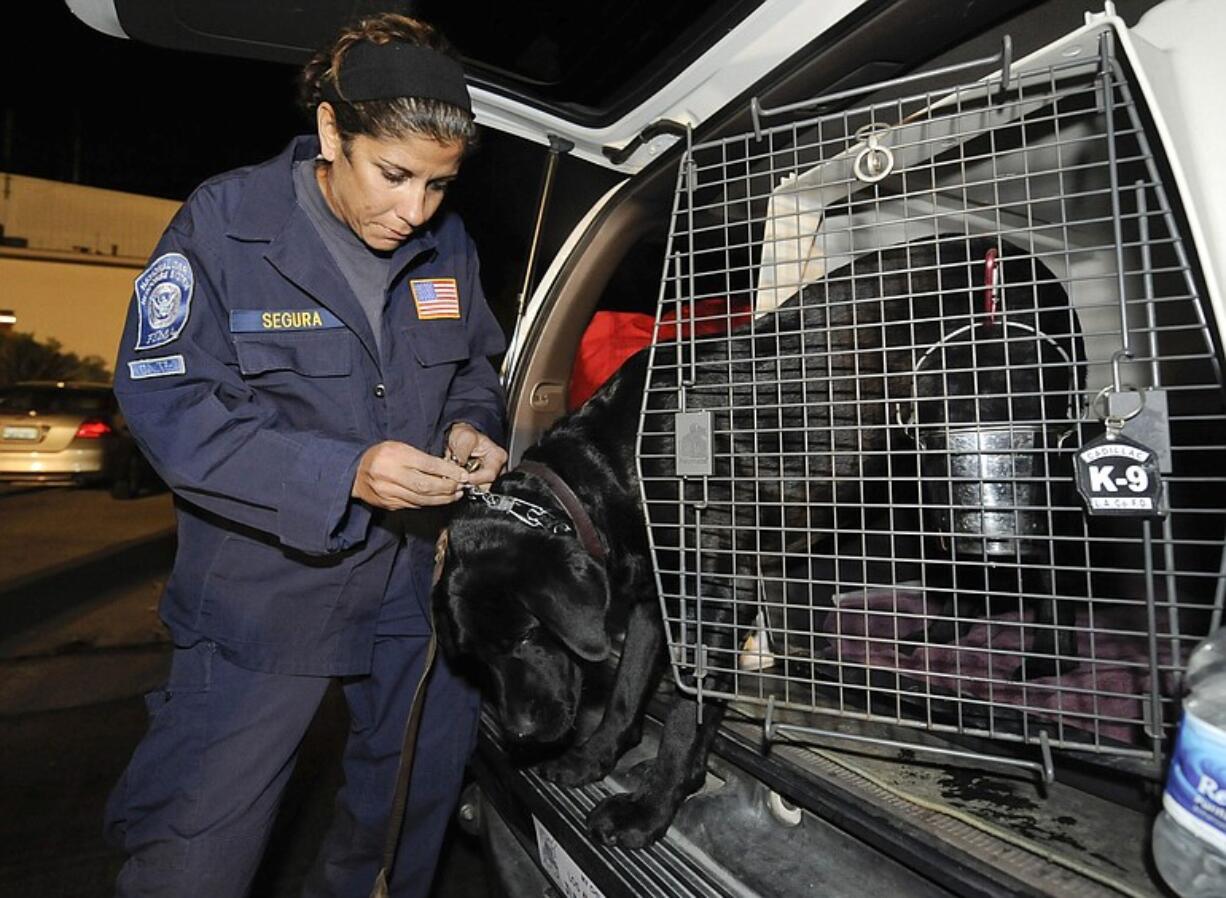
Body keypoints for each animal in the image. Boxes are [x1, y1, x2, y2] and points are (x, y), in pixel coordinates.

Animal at [434, 235, 1083, 844]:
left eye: (526, 635)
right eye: (478, 654)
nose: (519, 734)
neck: (610, 469)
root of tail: (1024, 259)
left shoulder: (716, 598)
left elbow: (686, 717)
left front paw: (652, 807)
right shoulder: (654, 601)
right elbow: (626, 690)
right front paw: (595, 758)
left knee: (1058, 568)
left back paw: (1046, 663)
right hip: (926, 473)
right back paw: (937, 634)